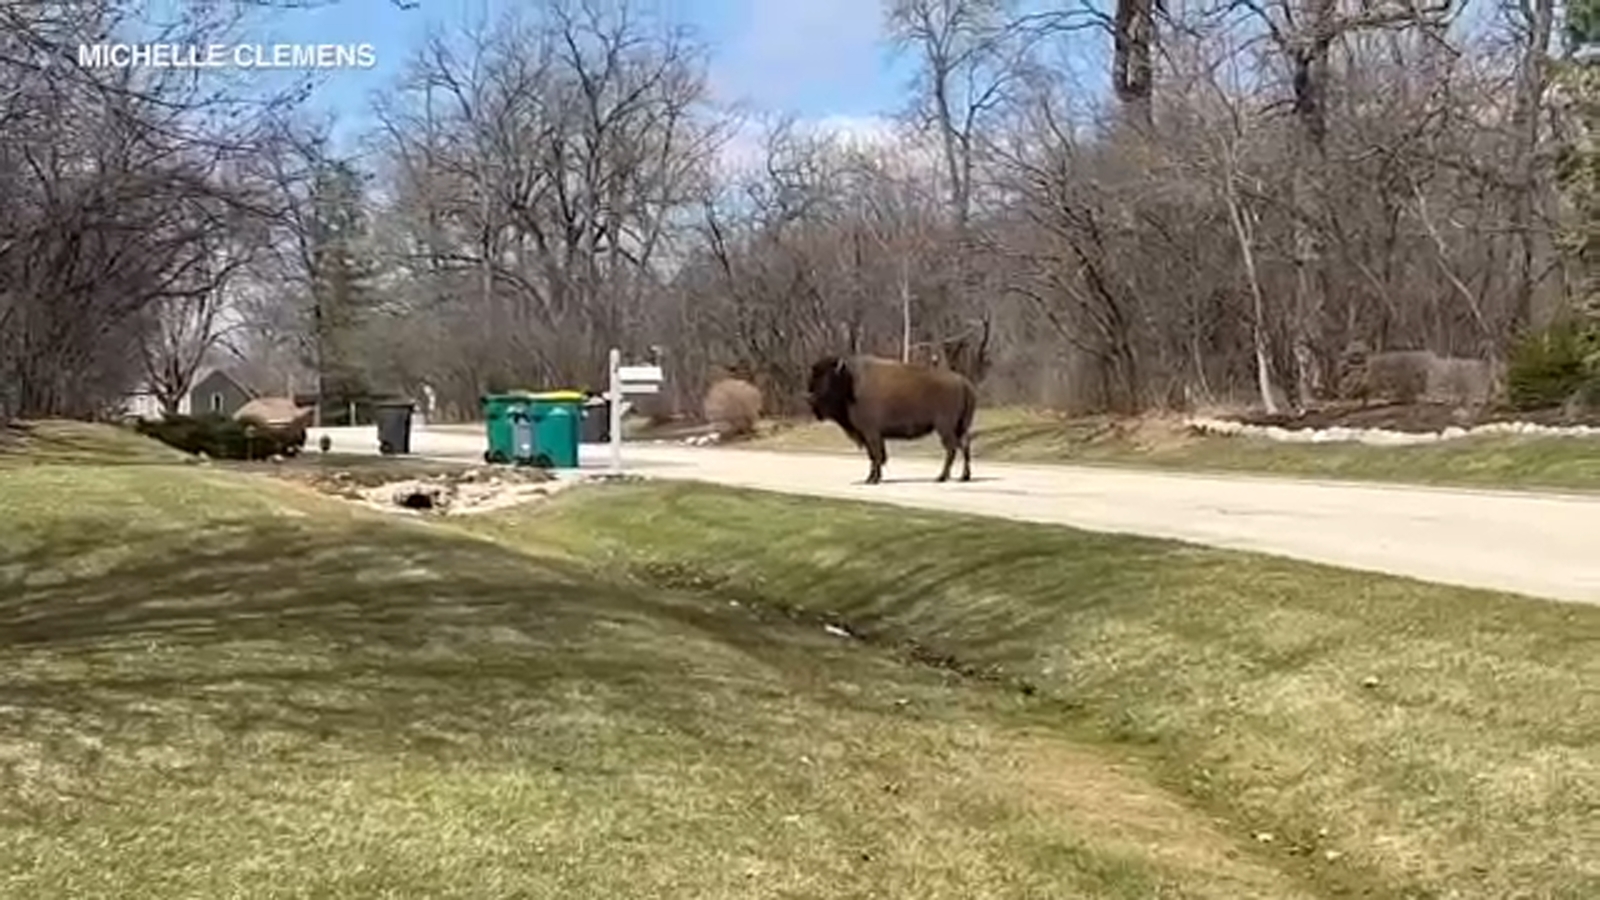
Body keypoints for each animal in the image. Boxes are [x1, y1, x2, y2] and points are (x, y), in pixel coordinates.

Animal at [800, 355, 972, 486]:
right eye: (813, 378)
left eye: (828, 379)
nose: (809, 398)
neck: (850, 382)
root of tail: (963, 382)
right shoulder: (872, 435)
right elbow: (875, 456)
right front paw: (871, 478)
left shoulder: (871, 433)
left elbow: (876, 455)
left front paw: (873, 480)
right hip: (960, 427)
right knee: (964, 446)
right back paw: (964, 477)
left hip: (944, 427)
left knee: (952, 448)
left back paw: (941, 477)